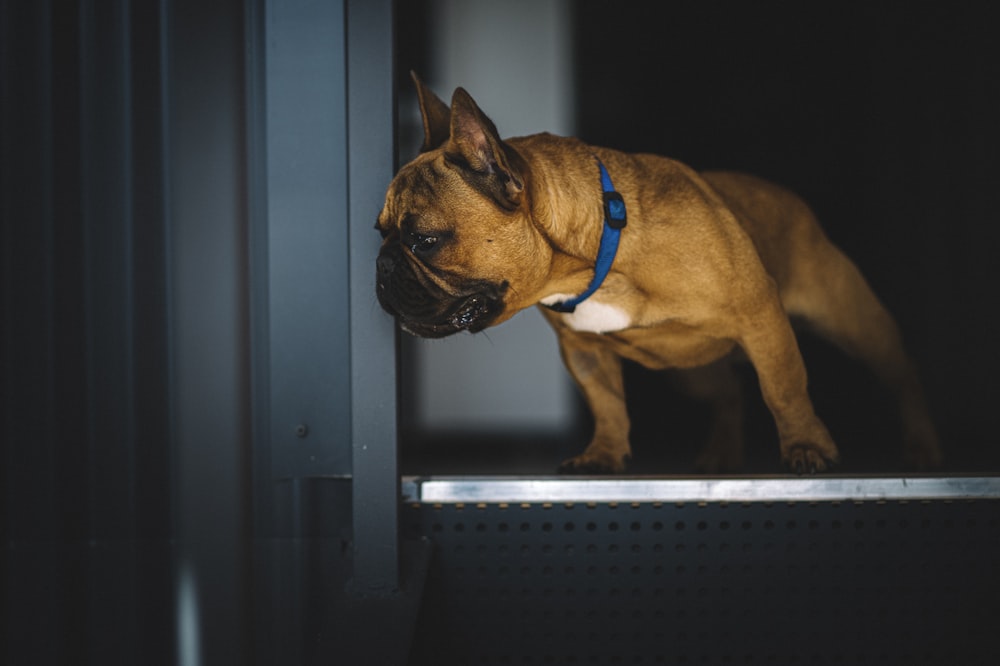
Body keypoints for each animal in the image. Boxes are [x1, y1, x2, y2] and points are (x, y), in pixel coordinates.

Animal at [376, 74, 944, 472]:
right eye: (379, 231)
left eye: (424, 241)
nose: (381, 268)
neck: (594, 259)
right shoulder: (583, 351)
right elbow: (606, 403)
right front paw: (603, 456)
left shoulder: (761, 316)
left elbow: (784, 389)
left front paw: (806, 448)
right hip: (688, 370)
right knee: (727, 392)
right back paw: (721, 455)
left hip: (853, 322)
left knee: (903, 373)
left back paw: (922, 446)